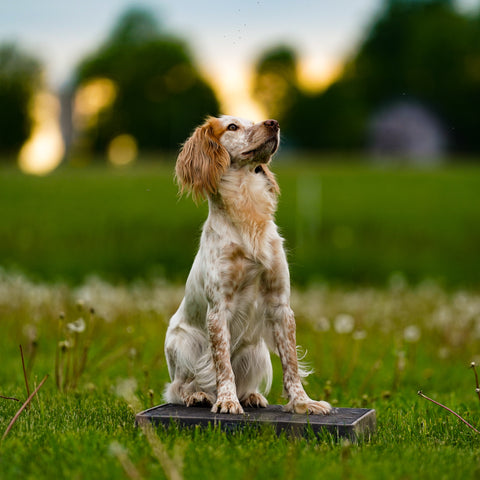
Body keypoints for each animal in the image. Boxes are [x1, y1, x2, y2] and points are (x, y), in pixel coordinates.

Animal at [163, 114, 332, 414]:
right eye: (232, 126)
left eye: (254, 121)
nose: (273, 123)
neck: (246, 209)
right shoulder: (218, 310)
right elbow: (222, 365)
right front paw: (226, 401)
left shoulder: (280, 305)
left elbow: (291, 364)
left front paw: (303, 403)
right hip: (182, 343)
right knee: (179, 387)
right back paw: (199, 395)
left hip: (257, 351)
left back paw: (251, 396)